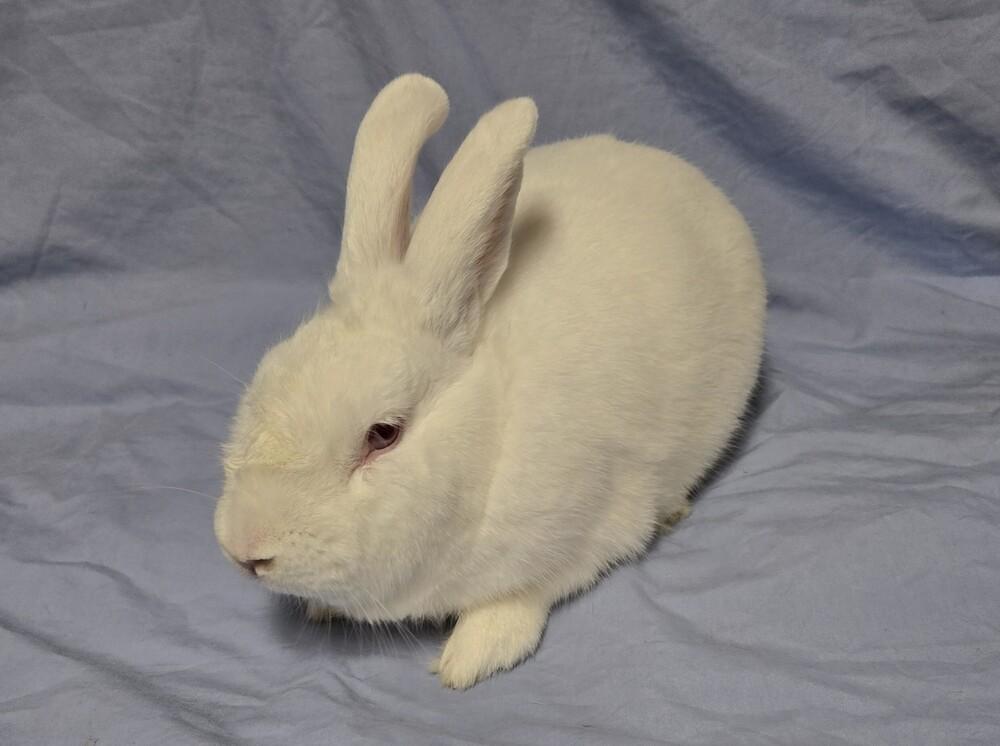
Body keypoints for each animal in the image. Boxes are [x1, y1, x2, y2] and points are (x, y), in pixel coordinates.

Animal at [213, 73, 765, 689]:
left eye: (383, 434)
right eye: (265, 375)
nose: (244, 549)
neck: (490, 435)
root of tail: (688, 174)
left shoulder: (586, 534)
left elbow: (520, 598)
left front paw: (470, 658)